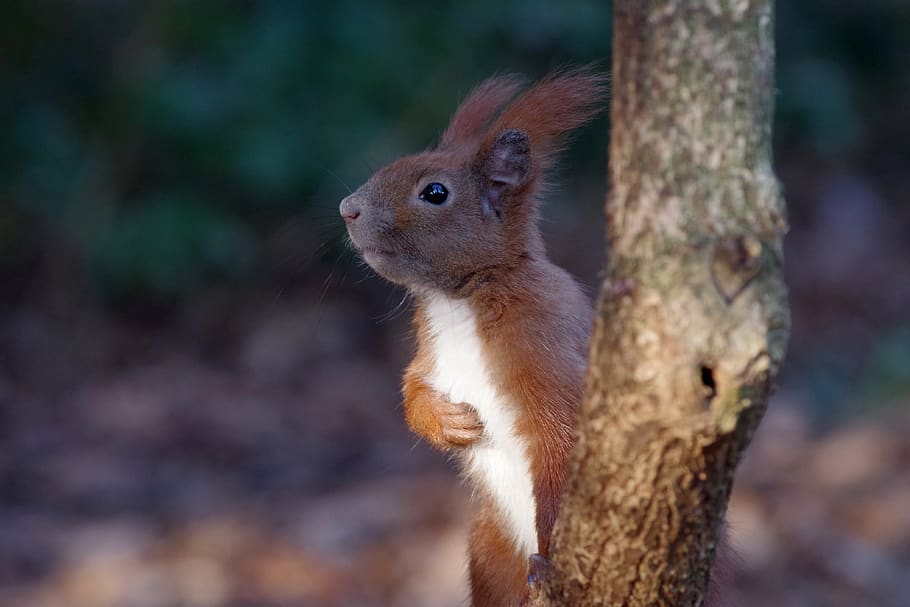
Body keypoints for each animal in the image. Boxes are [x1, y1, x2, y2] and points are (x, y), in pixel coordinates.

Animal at [340, 68, 730, 606]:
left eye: (435, 192)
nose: (347, 209)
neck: (461, 302)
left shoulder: (549, 349)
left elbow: (560, 445)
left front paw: (550, 562)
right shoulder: (430, 353)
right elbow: (413, 386)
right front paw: (446, 420)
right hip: (487, 551)